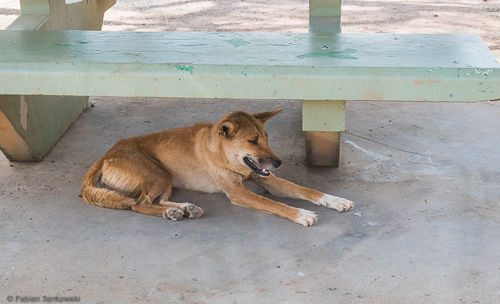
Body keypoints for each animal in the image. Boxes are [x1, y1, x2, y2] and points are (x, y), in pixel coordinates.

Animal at [82, 109, 354, 226]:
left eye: (267, 137)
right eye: (253, 141)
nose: (278, 163)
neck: (223, 154)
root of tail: (106, 155)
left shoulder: (265, 179)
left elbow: (306, 190)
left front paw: (336, 200)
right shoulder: (239, 193)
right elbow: (275, 204)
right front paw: (301, 214)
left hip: (166, 181)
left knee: (155, 201)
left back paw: (181, 209)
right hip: (160, 174)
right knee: (139, 204)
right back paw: (172, 212)